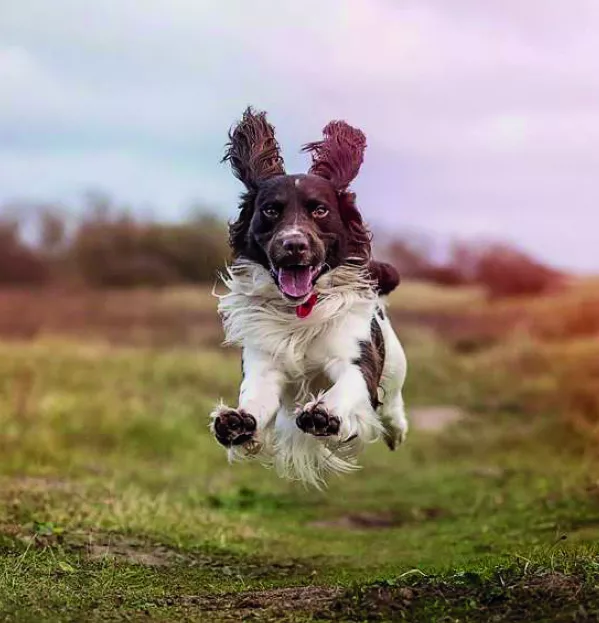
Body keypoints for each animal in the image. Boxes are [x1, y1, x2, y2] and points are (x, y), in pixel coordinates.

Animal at [210, 107, 408, 488]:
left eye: (320, 210)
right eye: (271, 210)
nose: (294, 244)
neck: (299, 311)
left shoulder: (356, 358)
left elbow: (349, 387)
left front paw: (324, 415)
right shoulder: (263, 362)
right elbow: (256, 398)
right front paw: (236, 424)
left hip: (395, 366)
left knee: (392, 409)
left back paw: (396, 430)